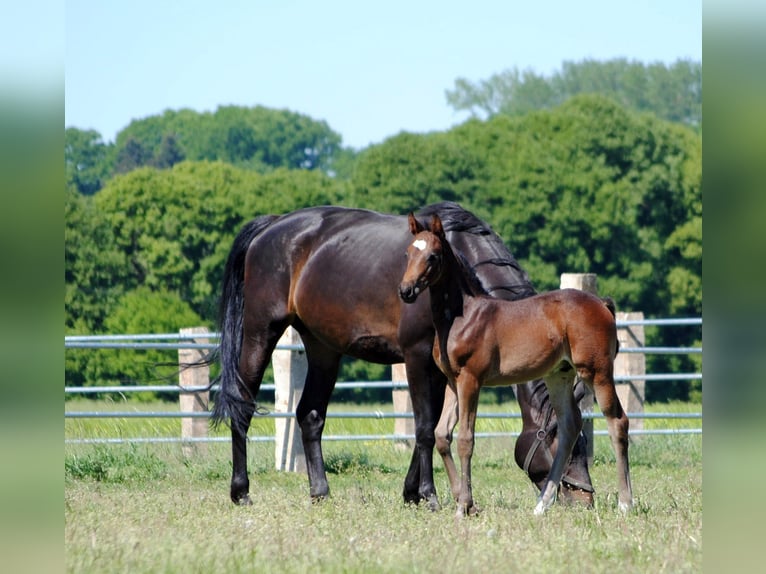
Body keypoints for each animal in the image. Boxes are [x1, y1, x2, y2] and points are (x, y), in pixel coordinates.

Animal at [213, 205, 596, 510]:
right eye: (559, 441)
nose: (585, 500)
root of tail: (272, 226)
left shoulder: (443, 371)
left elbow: (432, 426)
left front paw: (412, 493)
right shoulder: (417, 357)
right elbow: (425, 428)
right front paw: (429, 494)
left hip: (323, 348)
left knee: (310, 415)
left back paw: (319, 491)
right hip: (261, 333)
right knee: (242, 406)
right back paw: (241, 491)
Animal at [400, 213, 632, 516]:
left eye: (433, 256)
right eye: (408, 253)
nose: (406, 291)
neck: (464, 316)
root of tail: (602, 304)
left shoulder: (471, 379)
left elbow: (465, 439)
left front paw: (463, 506)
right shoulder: (453, 380)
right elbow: (442, 435)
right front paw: (466, 502)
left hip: (597, 371)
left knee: (617, 421)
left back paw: (625, 503)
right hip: (559, 375)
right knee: (570, 426)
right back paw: (541, 505)